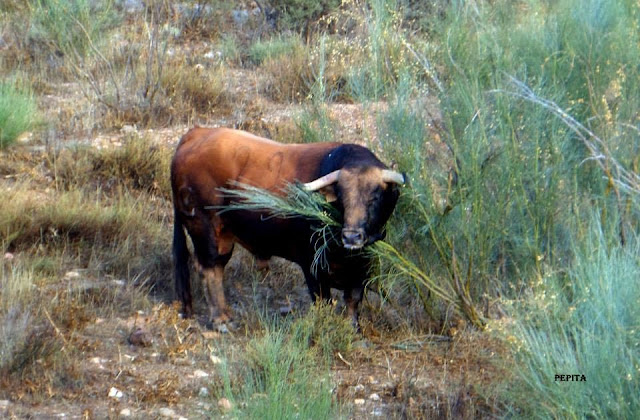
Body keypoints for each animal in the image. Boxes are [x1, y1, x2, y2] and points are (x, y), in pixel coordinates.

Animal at [170, 127, 404, 328]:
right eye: (341, 198)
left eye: (375, 196)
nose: (352, 237)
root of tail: (195, 133)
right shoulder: (311, 266)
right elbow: (323, 301)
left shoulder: (361, 269)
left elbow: (353, 299)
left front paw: (353, 328)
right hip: (207, 232)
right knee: (210, 269)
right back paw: (221, 319)